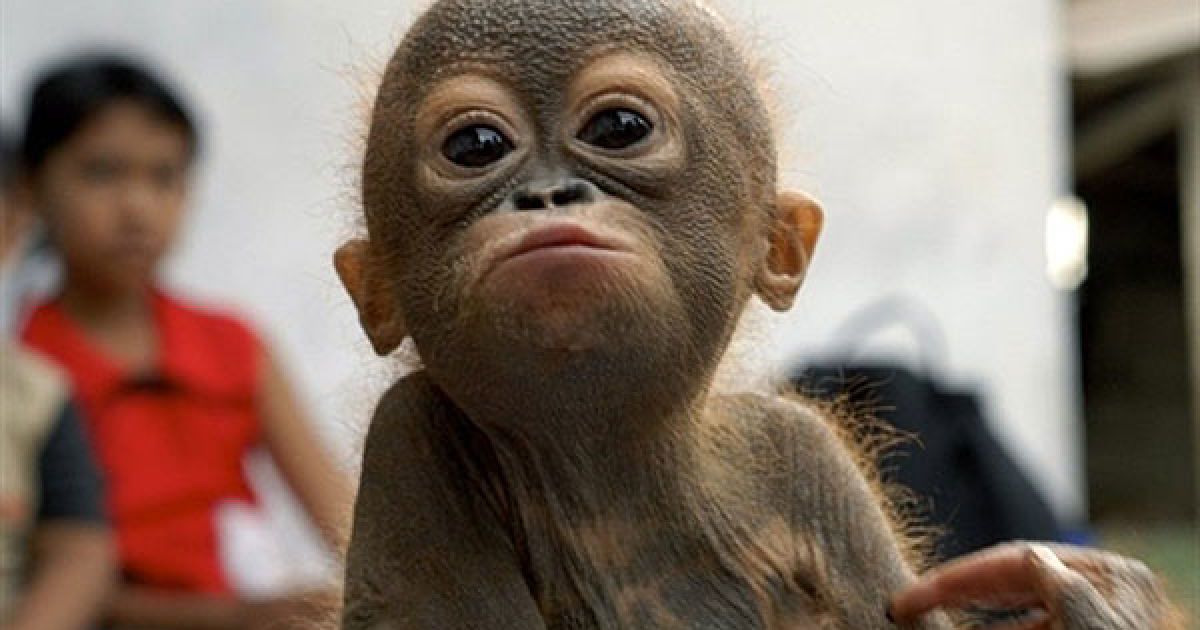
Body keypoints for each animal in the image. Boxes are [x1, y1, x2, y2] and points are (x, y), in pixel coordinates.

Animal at [333, 0, 1183, 628]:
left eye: (619, 129)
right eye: (476, 145)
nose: (545, 194)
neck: (607, 476)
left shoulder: (809, 460)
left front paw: (1091, 601)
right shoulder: (407, 443)